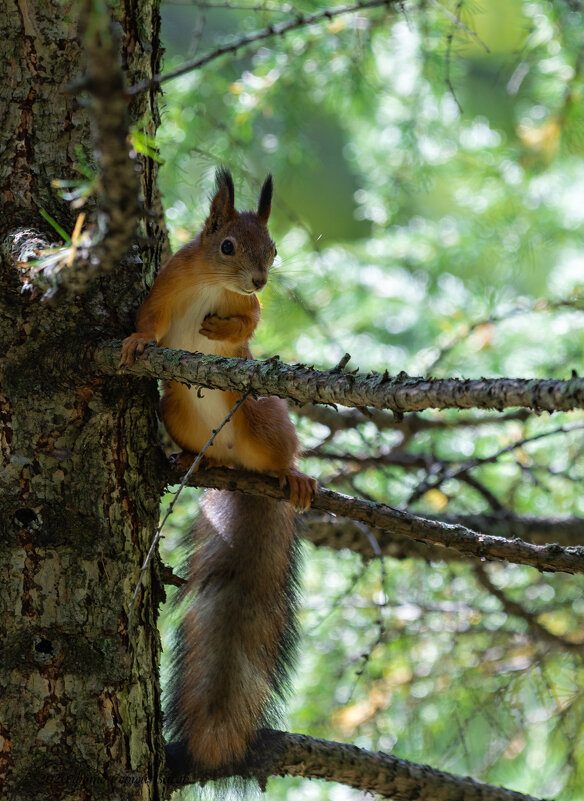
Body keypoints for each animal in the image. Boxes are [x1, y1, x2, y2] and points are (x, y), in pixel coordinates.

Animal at [119, 167, 318, 768]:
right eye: (226, 244)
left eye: (272, 250)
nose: (257, 280)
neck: (212, 283)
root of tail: (236, 469)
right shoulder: (166, 287)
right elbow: (150, 323)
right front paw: (135, 342)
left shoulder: (245, 312)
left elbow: (246, 324)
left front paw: (217, 332)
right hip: (176, 410)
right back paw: (189, 458)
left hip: (261, 416)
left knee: (282, 453)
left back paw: (295, 476)